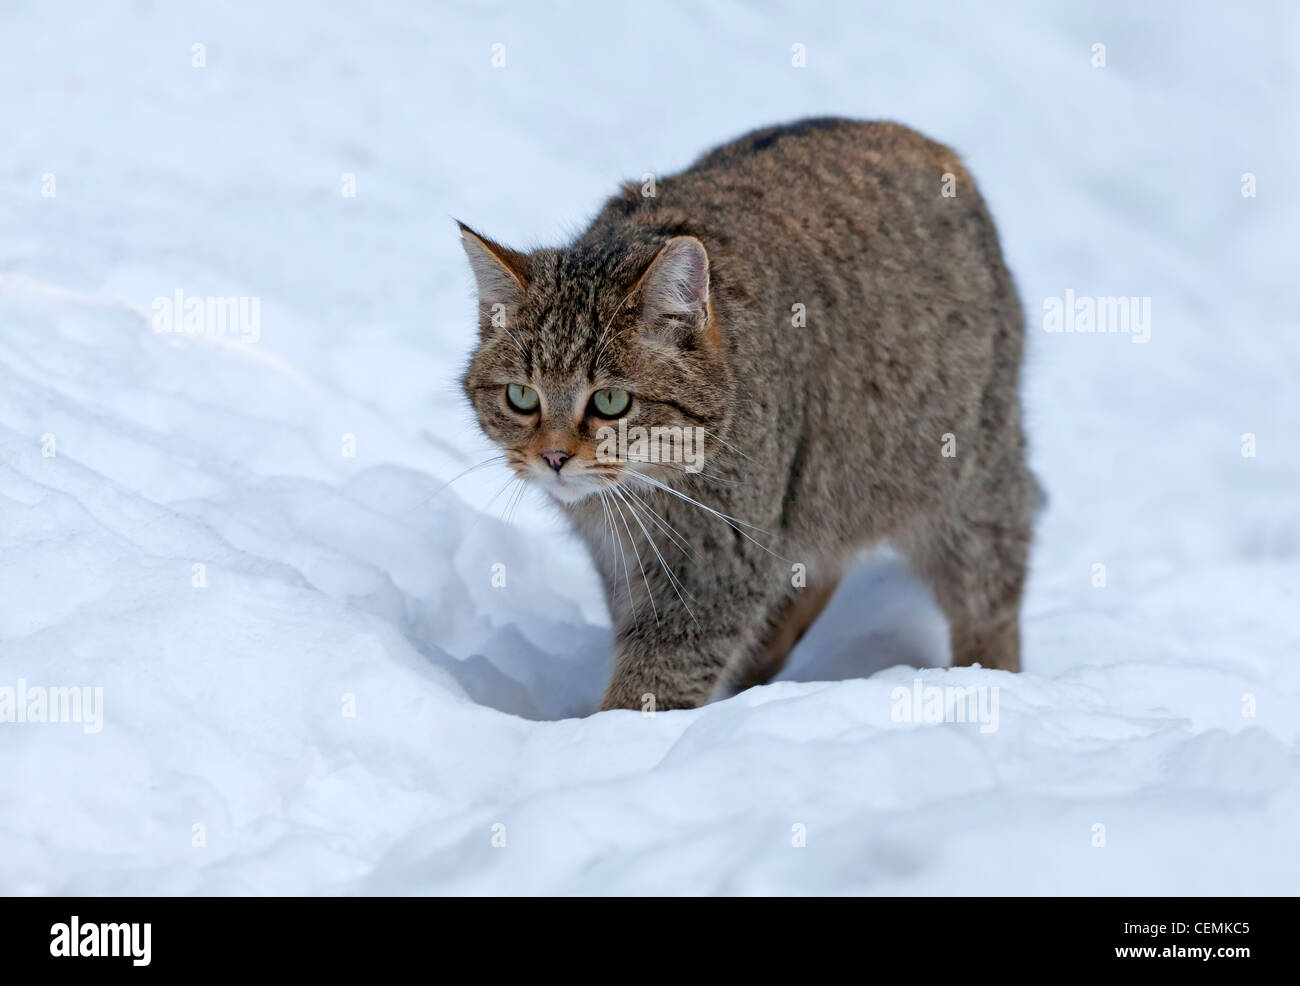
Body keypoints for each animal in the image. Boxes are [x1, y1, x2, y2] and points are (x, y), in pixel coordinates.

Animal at [462, 119, 1040, 712]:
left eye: (610, 402)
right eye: (522, 396)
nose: (553, 457)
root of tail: (936, 149)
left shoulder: (716, 569)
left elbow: (656, 679)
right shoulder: (628, 560)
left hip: (964, 479)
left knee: (994, 582)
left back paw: (988, 677)